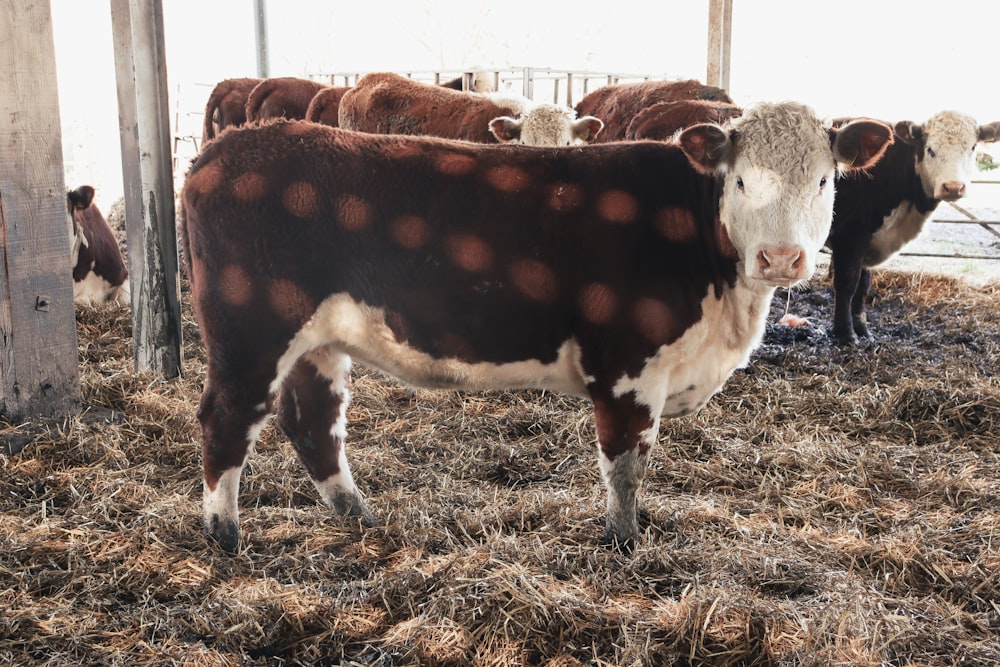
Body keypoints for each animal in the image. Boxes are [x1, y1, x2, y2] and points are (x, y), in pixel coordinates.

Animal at [180, 104, 892, 552]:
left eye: (824, 180)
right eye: (740, 180)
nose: (781, 258)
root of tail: (230, 146)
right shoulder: (625, 364)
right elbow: (625, 464)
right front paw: (624, 543)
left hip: (317, 341)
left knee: (313, 422)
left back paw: (360, 518)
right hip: (251, 331)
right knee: (226, 418)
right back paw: (224, 537)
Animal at [828, 111, 1000, 344]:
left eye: (972, 147)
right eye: (930, 150)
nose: (953, 187)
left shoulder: (869, 240)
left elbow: (863, 286)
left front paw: (862, 328)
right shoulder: (851, 236)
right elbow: (847, 284)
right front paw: (846, 333)